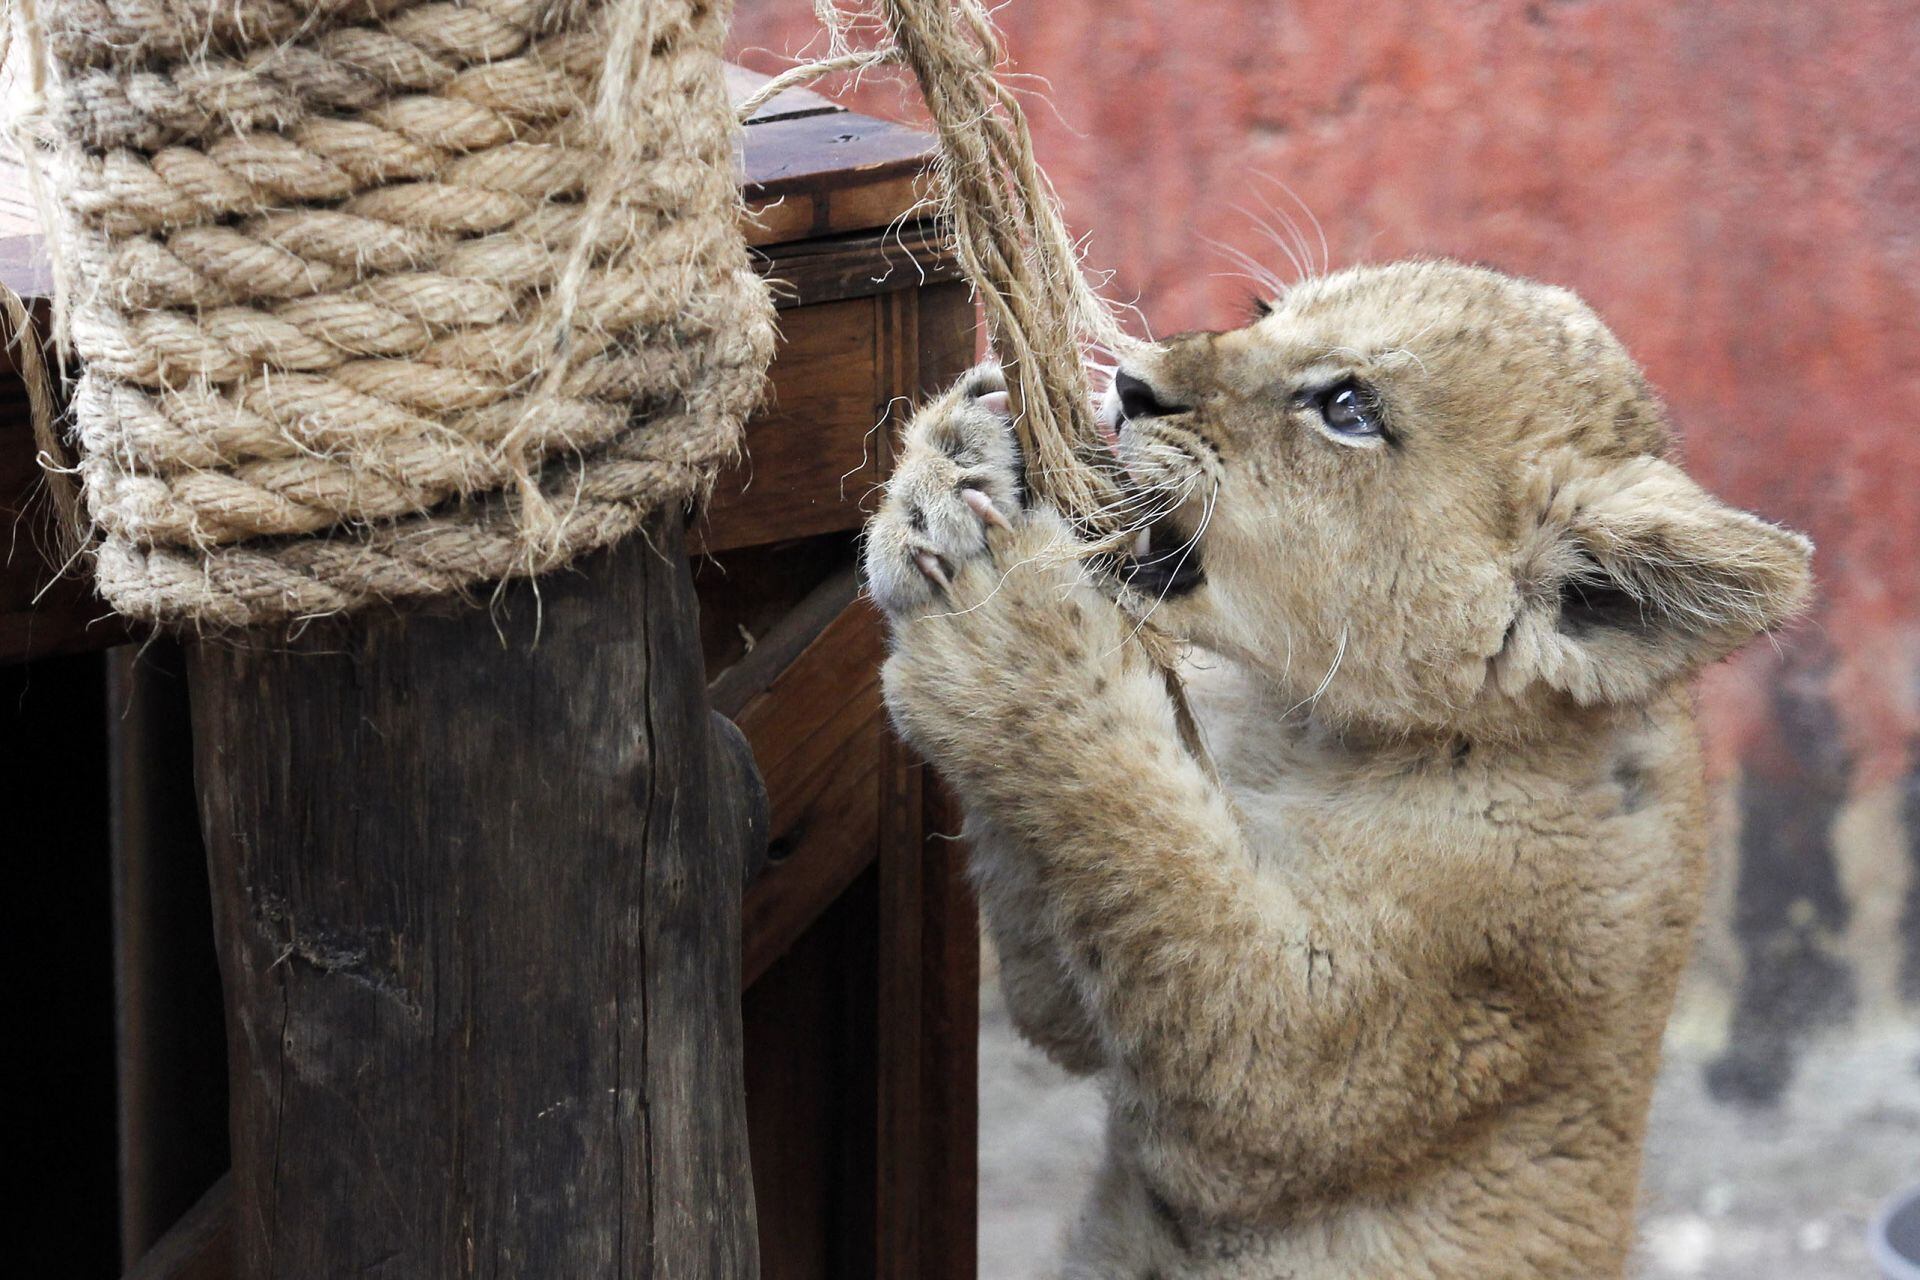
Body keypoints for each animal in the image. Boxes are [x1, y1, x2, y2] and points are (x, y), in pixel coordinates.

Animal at [862, 260, 1813, 1278]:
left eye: (1348, 408)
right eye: (1264, 313)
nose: (1131, 385)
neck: (1303, 725)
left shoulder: (1362, 1042)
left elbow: (1152, 863)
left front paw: (1008, 633)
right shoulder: (1079, 984)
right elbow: (1075, 942)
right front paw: (957, 464)